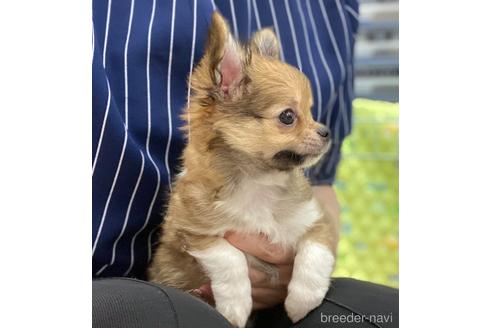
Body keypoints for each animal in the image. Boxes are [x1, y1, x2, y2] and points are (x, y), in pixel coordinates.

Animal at [146, 11, 338, 326]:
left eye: (311, 112)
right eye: (288, 117)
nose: (326, 131)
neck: (258, 182)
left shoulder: (317, 221)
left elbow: (314, 253)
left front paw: (302, 301)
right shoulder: (192, 232)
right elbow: (229, 257)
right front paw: (235, 306)